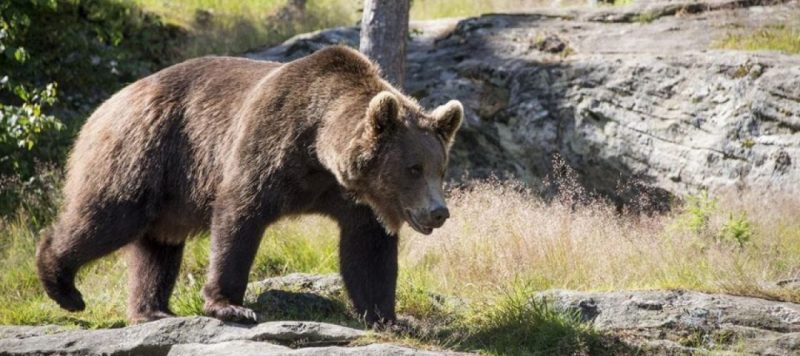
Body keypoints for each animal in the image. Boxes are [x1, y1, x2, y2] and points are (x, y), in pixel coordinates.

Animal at [36, 46, 462, 324]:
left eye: (440, 168)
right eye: (413, 168)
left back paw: (152, 309)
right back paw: (63, 286)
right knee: (109, 217)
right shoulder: (268, 145)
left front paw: (389, 317)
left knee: (158, 246)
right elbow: (239, 217)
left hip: (168, 191)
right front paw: (231, 305)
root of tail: (107, 104)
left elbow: (368, 251)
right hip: (144, 153)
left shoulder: (354, 198)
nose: (438, 212)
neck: (318, 150)